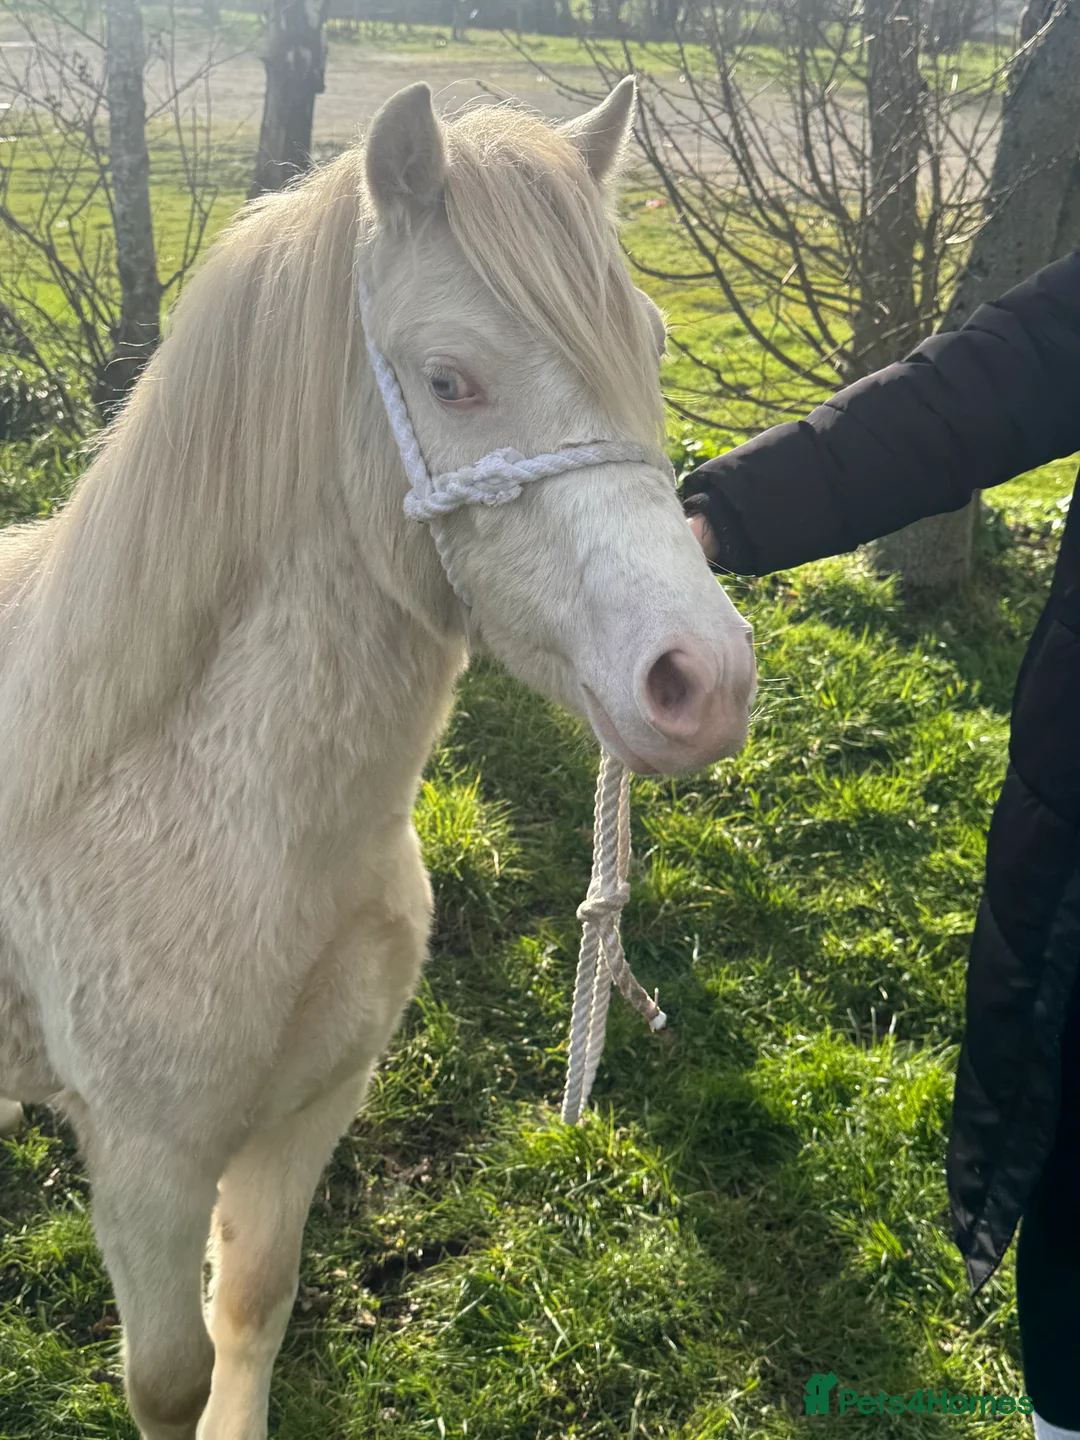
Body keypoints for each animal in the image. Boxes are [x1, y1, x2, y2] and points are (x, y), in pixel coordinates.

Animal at [0, 76, 755, 1439]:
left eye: (653, 345)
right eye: (451, 379)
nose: (703, 682)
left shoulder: (310, 1112)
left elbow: (253, 1309)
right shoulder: (143, 1161)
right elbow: (168, 1378)